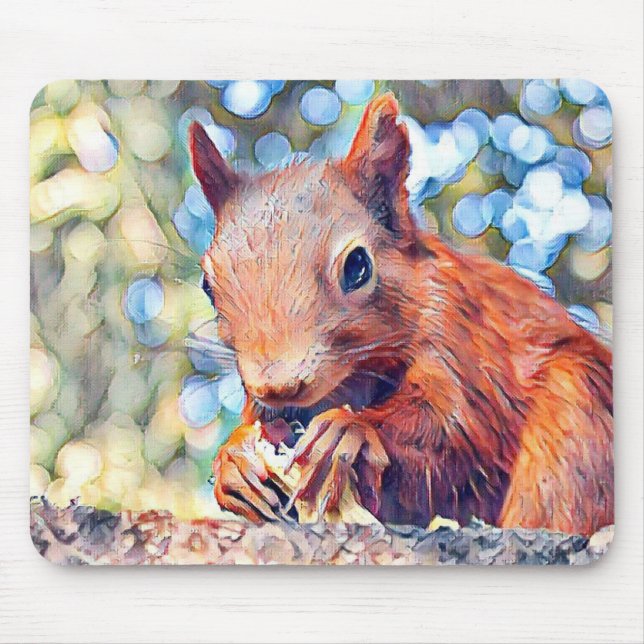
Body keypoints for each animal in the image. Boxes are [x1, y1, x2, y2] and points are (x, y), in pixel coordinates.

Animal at [189, 92, 613, 536]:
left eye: (358, 266)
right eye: (207, 285)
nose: (278, 387)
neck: (354, 378)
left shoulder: (458, 337)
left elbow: (455, 429)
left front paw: (352, 430)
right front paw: (234, 460)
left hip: (576, 417)